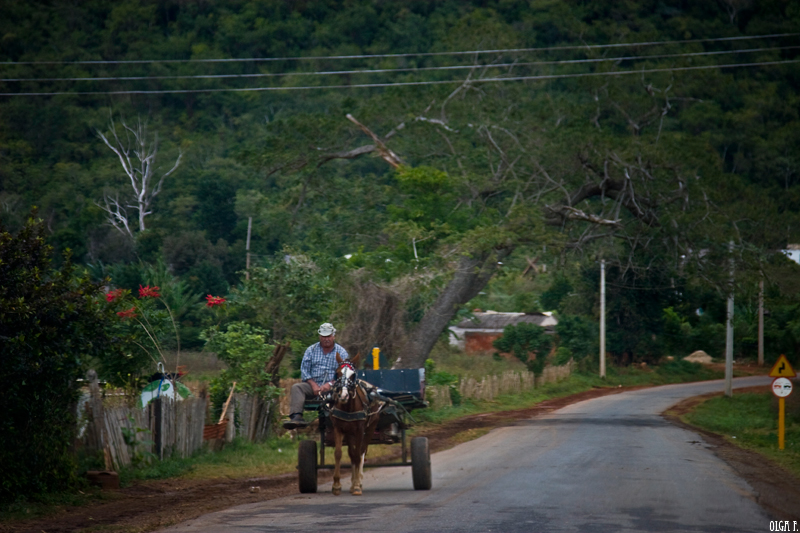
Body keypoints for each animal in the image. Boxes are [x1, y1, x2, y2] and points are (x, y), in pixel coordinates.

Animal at [330, 354, 382, 494]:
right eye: (337, 373)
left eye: (353, 375)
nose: (343, 395)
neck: (348, 407)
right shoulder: (338, 428)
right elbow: (339, 454)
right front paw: (336, 485)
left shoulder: (360, 430)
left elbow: (358, 455)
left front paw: (357, 485)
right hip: (349, 433)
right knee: (352, 454)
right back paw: (353, 482)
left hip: (371, 427)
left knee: (361, 452)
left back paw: (358, 481)